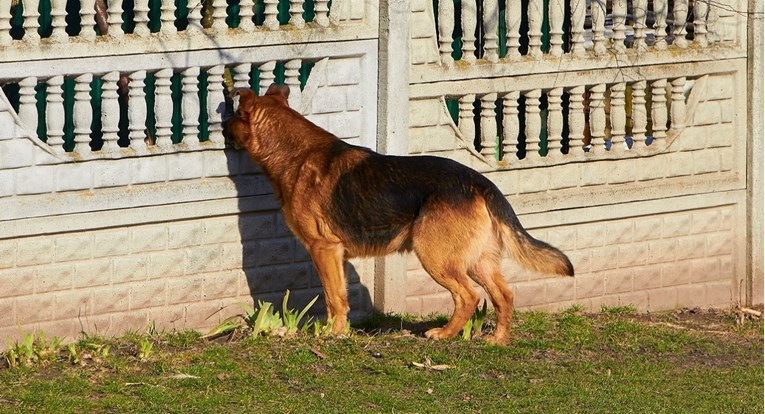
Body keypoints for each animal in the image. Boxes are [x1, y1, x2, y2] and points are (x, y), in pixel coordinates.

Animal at [222, 85, 572, 346]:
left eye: (233, 116)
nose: (221, 127)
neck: (294, 154)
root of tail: (479, 181)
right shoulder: (333, 254)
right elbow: (340, 297)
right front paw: (340, 332)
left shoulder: (324, 249)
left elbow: (334, 297)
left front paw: (332, 334)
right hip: (477, 261)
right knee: (504, 295)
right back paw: (498, 340)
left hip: (435, 257)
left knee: (468, 297)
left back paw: (444, 334)